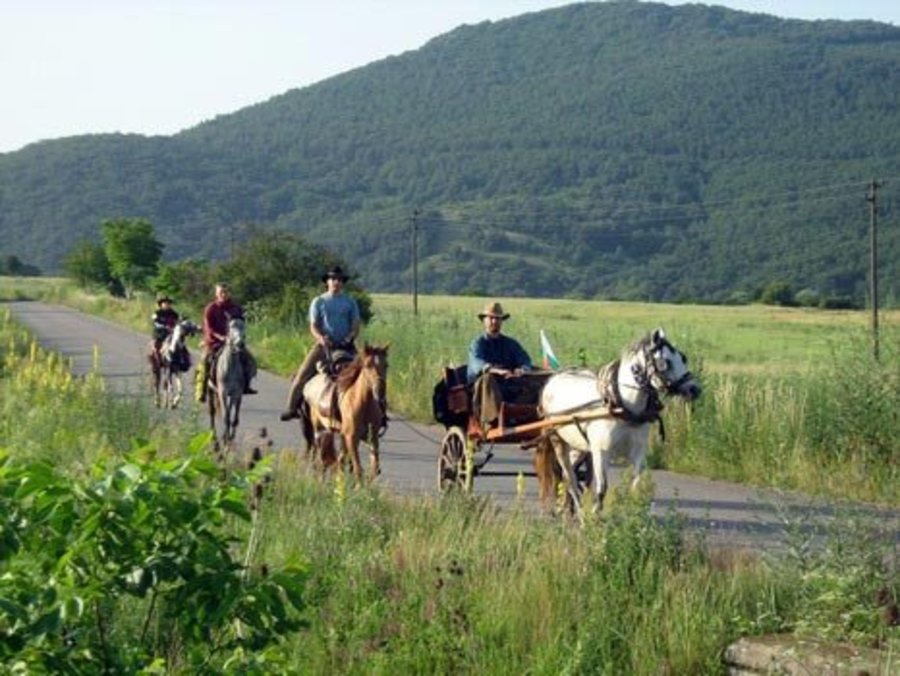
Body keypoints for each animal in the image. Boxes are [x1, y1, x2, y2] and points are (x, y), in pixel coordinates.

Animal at [205, 316, 244, 448]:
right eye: (231, 327)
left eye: (244, 326)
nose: (240, 344)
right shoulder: (222, 392)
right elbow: (226, 416)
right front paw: (225, 439)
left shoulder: (236, 393)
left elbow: (234, 417)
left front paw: (230, 437)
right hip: (211, 390)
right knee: (212, 412)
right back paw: (214, 438)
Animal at [300, 344, 388, 480]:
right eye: (367, 365)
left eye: (386, 365)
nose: (380, 391)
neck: (363, 404)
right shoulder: (351, 438)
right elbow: (357, 469)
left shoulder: (372, 438)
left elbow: (374, 469)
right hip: (320, 430)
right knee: (321, 458)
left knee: (337, 460)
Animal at [536, 328, 704, 512]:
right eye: (665, 362)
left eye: (682, 357)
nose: (695, 389)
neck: (622, 406)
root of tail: (553, 378)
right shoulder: (601, 452)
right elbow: (601, 489)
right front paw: (594, 515)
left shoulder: (638, 451)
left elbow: (636, 484)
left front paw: (634, 510)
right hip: (558, 440)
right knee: (569, 477)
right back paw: (579, 512)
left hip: (579, 446)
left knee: (569, 476)